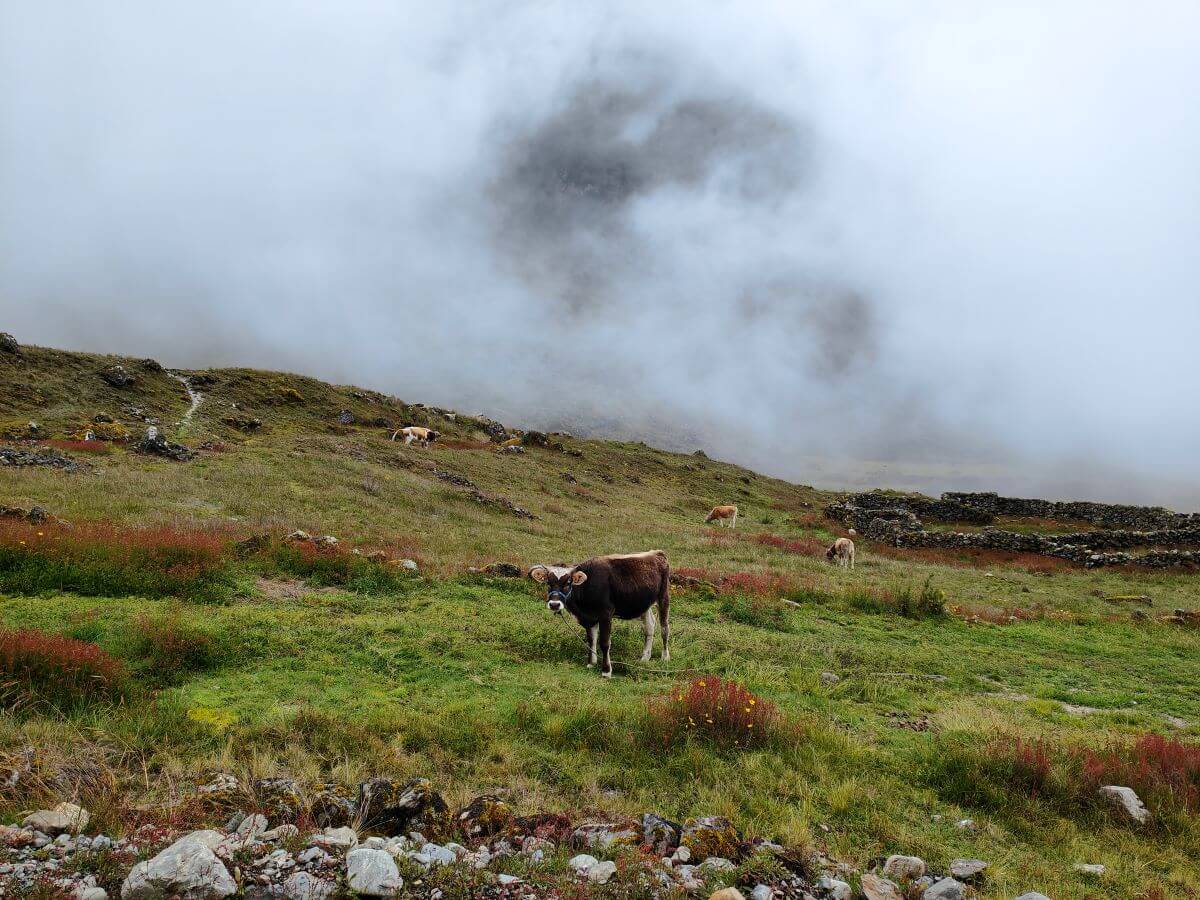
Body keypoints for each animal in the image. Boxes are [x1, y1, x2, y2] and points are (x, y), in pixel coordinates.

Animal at [530, 554, 672, 681]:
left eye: (568, 583)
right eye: (548, 582)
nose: (554, 604)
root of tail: (657, 554)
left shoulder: (606, 615)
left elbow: (604, 643)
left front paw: (606, 671)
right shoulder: (589, 618)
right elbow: (591, 640)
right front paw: (591, 663)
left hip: (663, 597)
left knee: (664, 628)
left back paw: (665, 657)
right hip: (644, 604)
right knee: (650, 627)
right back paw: (645, 658)